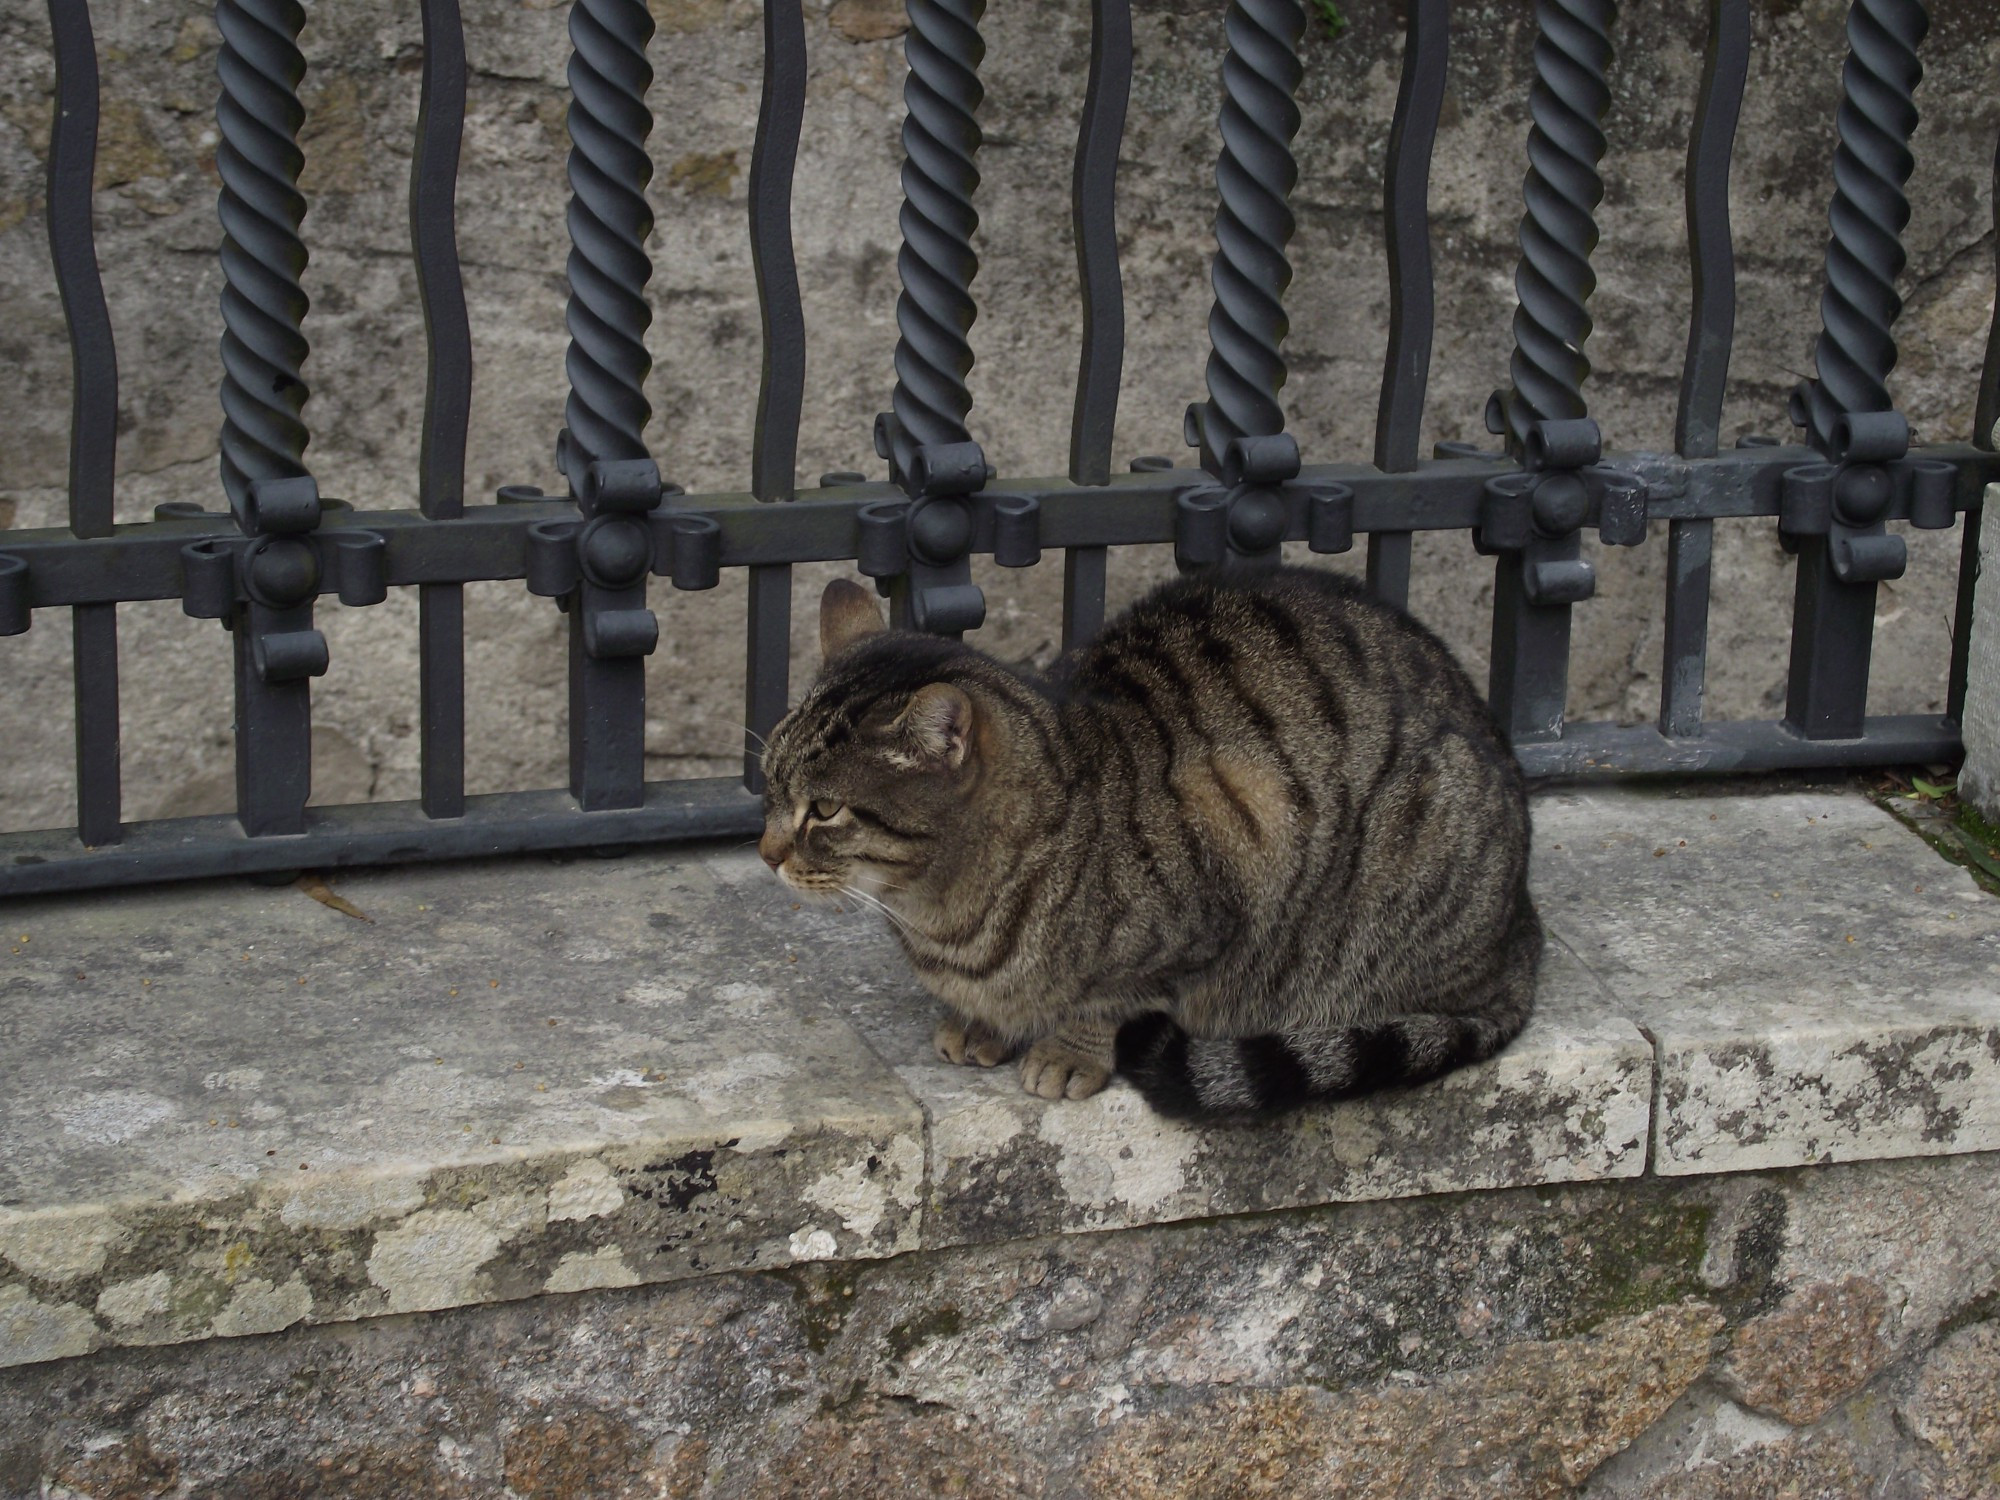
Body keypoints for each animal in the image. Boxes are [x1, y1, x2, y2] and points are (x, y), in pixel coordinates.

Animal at [756, 564, 1536, 1120]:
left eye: (824, 809)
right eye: (768, 782)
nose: (765, 853)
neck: (940, 913)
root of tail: (1522, 937)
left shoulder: (1224, 870)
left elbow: (1112, 999)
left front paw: (1069, 1049)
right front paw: (981, 1025)